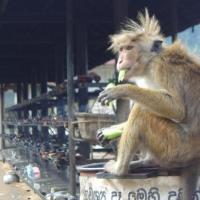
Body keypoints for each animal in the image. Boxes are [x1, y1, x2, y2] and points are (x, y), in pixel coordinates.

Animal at [98, 9, 200, 200]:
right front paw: (111, 130)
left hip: (178, 146)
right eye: (121, 49)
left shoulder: (162, 67)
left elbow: (177, 109)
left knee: (141, 111)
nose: (120, 61)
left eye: (129, 49)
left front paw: (122, 89)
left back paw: (119, 169)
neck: (149, 62)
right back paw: (145, 162)